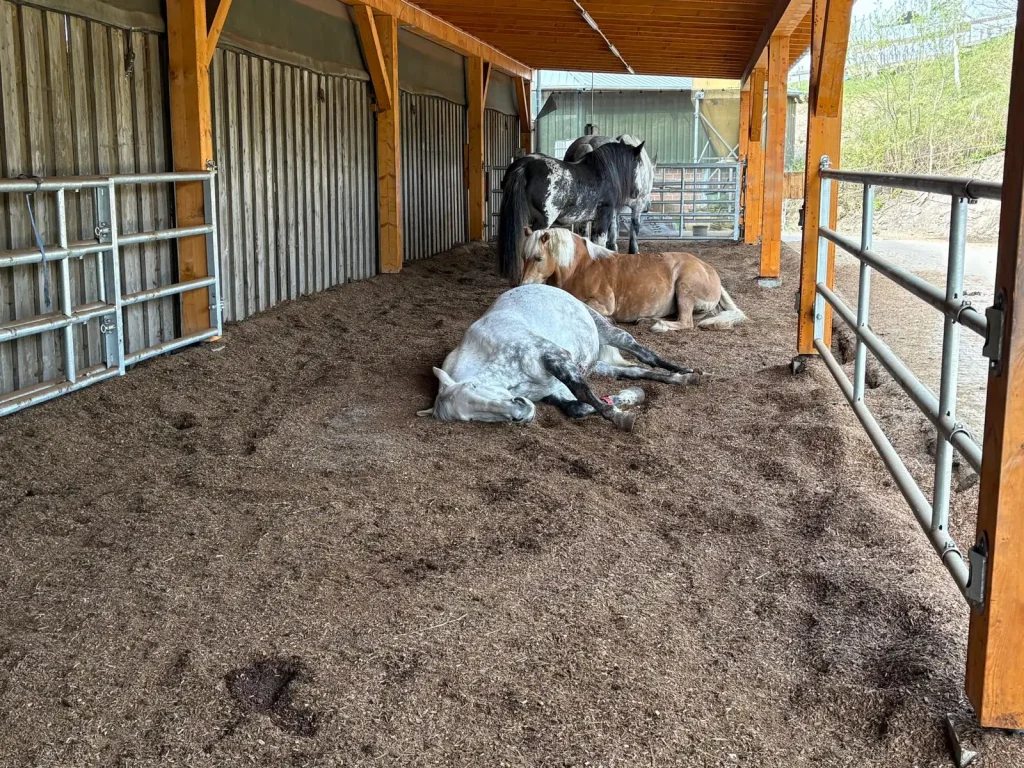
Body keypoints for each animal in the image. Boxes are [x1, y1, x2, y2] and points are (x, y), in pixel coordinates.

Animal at [417, 284, 703, 432]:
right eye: (470, 418)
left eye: (475, 386)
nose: (520, 411)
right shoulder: (552, 389)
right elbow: (579, 405)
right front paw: (629, 398)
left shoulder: (556, 358)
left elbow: (584, 393)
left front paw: (619, 416)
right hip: (598, 365)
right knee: (634, 370)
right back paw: (678, 380)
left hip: (608, 331)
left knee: (645, 354)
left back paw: (686, 371)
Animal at [497, 141, 646, 283]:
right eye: (638, 164)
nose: (637, 192)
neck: (603, 174)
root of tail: (525, 168)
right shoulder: (604, 216)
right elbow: (600, 243)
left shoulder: (585, 219)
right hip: (543, 221)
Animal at [519, 227, 747, 334]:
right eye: (523, 257)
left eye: (538, 258)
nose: (523, 286)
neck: (580, 268)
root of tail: (710, 271)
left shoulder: (603, 304)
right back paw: (648, 319)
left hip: (684, 289)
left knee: (686, 322)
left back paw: (658, 326)